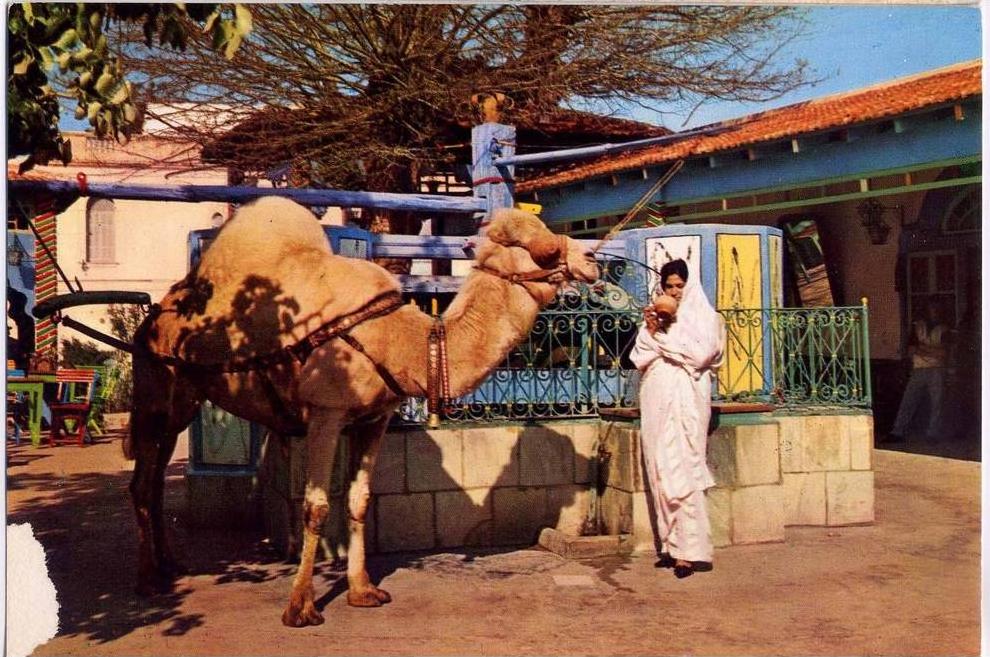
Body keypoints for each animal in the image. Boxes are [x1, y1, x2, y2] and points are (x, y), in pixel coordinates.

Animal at [127, 197, 600, 628]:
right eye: (546, 251)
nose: (592, 259)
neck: (399, 340)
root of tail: (155, 315)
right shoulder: (326, 411)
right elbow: (316, 506)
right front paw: (301, 607)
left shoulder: (374, 420)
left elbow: (359, 499)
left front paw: (362, 590)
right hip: (155, 388)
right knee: (142, 481)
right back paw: (148, 578)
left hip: (182, 403)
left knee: (155, 479)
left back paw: (169, 565)